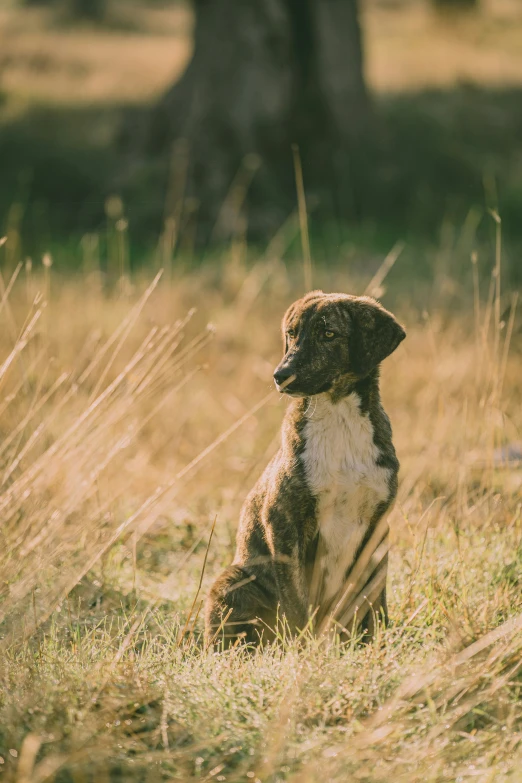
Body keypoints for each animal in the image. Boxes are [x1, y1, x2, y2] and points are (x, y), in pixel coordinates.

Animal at [205, 290, 404, 648]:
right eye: (291, 333)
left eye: (328, 333)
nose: (280, 376)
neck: (338, 417)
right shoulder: (284, 523)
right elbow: (296, 603)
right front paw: (302, 648)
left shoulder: (378, 525)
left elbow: (374, 598)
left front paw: (375, 646)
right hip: (232, 580)